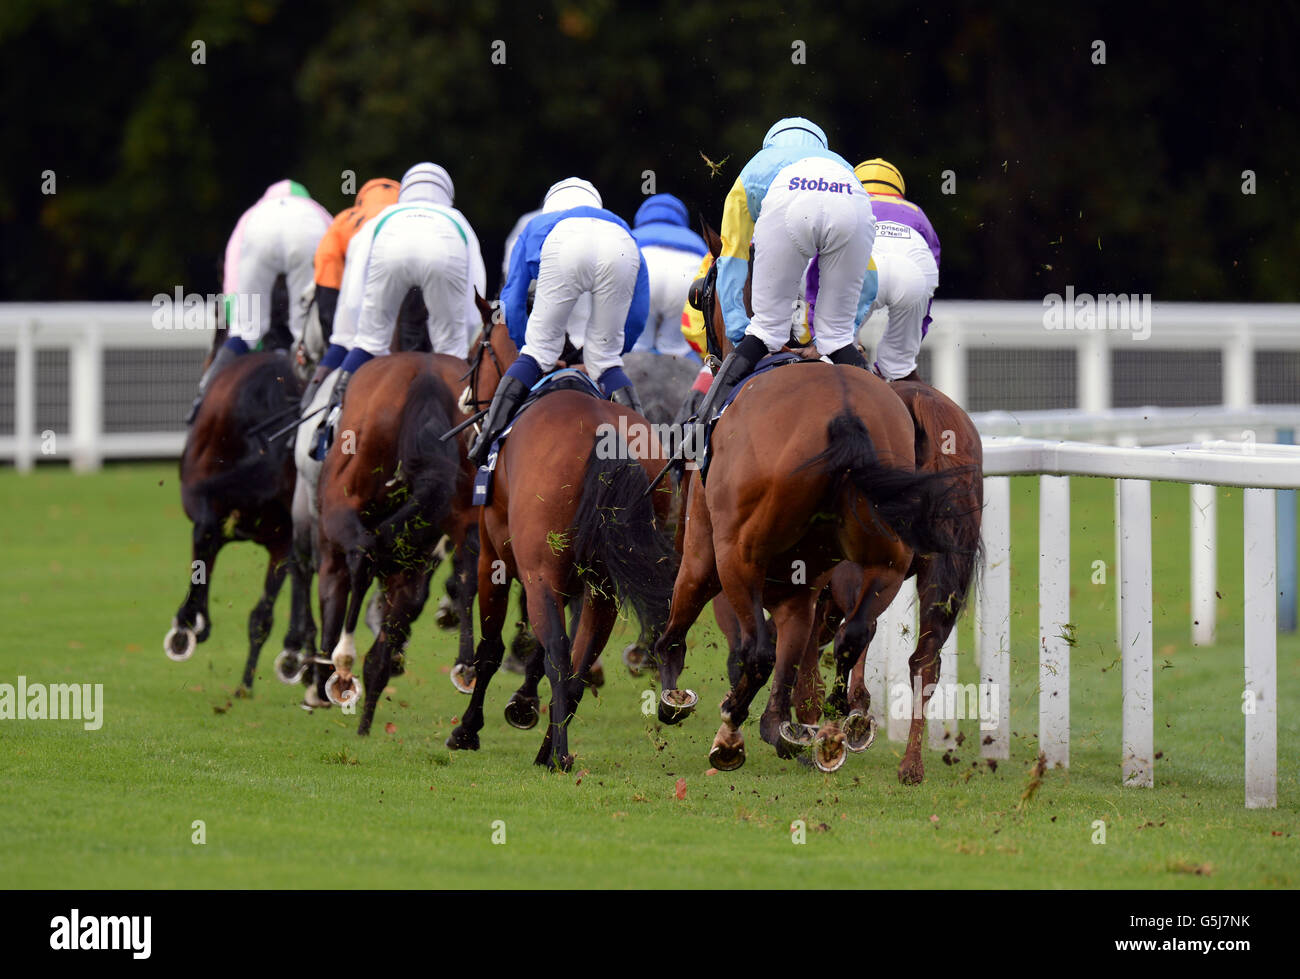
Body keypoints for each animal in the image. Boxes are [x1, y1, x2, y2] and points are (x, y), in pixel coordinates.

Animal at [444, 384, 681, 769]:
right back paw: (551, 751)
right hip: (602, 590)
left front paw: (467, 729)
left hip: (539, 574)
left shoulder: (495, 561)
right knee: (579, 664)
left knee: (558, 653)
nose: (466, 397)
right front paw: (523, 704)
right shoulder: (572, 584)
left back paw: (556, 754)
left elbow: (492, 650)